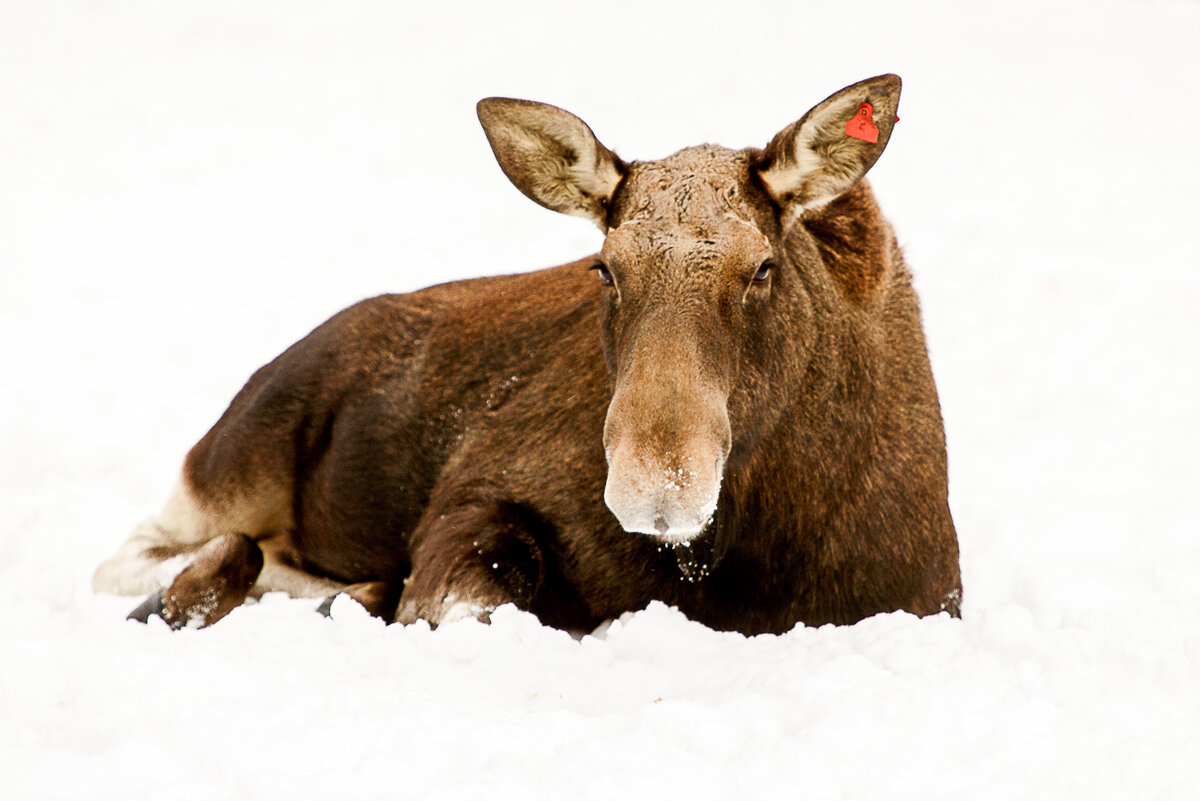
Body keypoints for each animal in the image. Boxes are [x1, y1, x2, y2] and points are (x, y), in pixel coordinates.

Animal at [93, 76, 960, 637]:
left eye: (763, 268)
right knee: (135, 560)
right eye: (605, 266)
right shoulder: (472, 498)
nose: (657, 482)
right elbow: (474, 598)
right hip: (233, 463)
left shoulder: (928, 595)